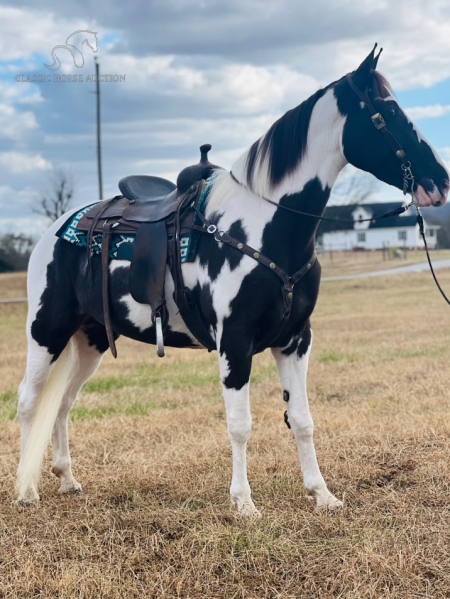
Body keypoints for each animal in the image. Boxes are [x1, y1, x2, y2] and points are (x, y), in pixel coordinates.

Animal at [15, 45, 448, 516]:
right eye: (388, 112)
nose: (439, 181)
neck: (263, 226)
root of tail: (58, 229)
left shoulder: (296, 340)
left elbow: (302, 420)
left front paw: (321, 494)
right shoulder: (235, 342)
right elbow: (240, 424)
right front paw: (244, 503)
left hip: (90, 338)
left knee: (63, 403)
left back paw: (67, 479)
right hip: (47, 331)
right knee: (29, 401)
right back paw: (26, 490)